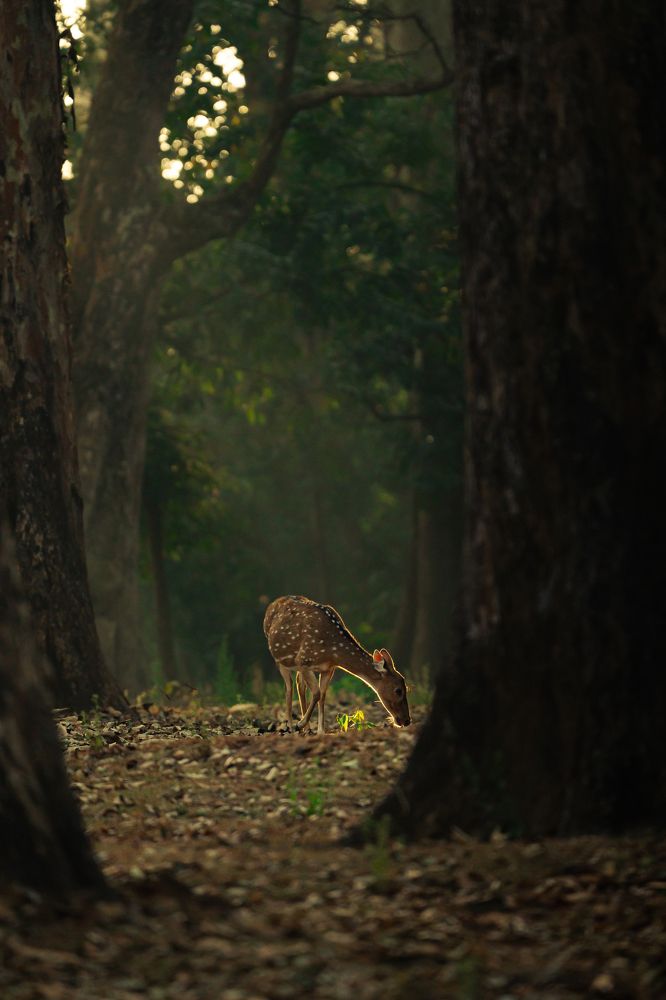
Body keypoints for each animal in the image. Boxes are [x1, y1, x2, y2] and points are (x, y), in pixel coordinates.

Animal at [263, 594, 411, 735]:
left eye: (406, 688)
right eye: (398, 690)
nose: (407, 720)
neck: (332, 652)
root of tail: (271, 605)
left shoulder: (328, 668)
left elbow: (322, 695)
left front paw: (320, 731)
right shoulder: (303, 659)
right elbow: (316, 693)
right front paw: (299, 724)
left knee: (300, 685)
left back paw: (307, 729)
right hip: (280, 660)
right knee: (289, 688)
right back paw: (292, 728)